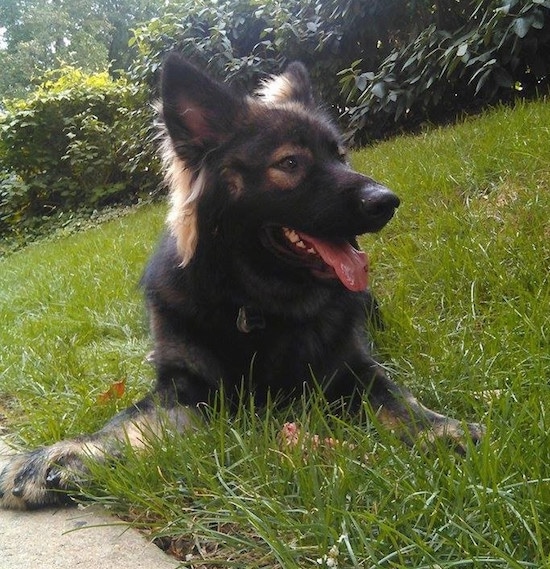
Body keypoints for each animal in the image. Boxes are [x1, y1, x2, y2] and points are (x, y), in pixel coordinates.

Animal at [0, 53, 484, 508]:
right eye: (290, 162)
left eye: (340, 155)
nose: (387, 201)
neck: (256, 303)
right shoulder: (183, 387)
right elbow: (128, 423)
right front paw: (62, 455)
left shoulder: (351, 367)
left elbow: (394, 398)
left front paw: (442, 430)